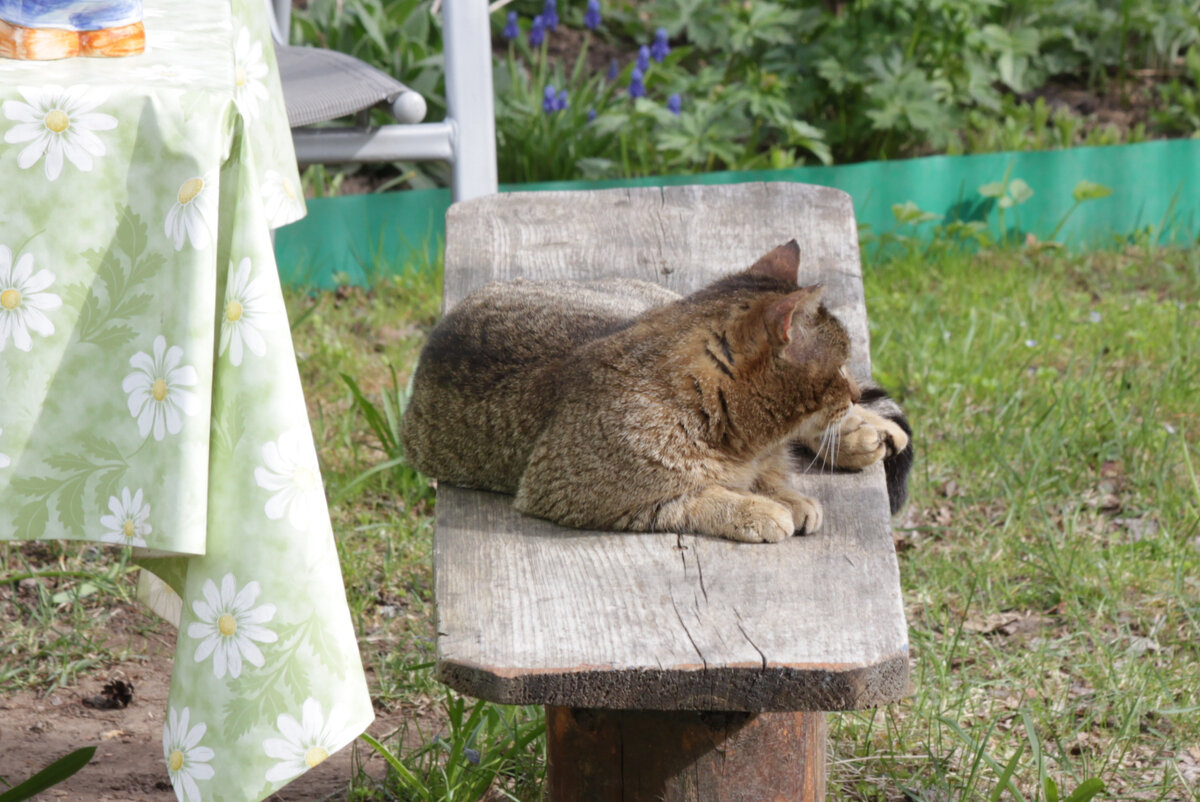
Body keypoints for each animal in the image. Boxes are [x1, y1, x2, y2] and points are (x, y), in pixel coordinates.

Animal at [403, 242, 907, 545]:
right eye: (838, 365)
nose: (850, 390)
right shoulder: (572, 495)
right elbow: (696, 497)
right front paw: (759, 508)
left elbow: (773, 470)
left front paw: (789, 493)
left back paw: (865, 432)